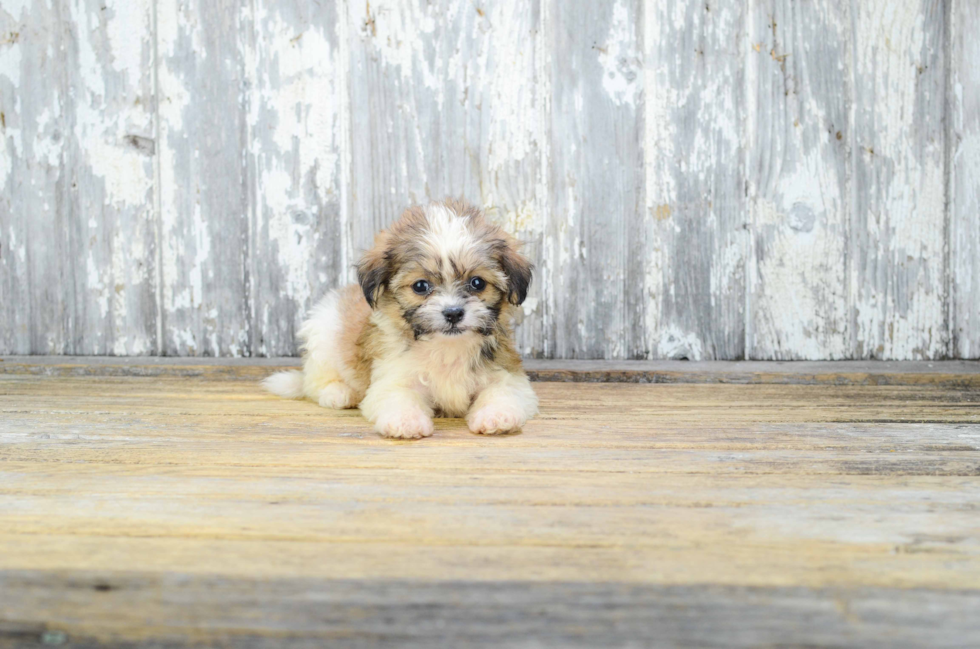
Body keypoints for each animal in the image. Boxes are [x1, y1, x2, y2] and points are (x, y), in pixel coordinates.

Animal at [262, 200, 536, 438]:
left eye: (477, 283)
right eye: (421, 286)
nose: (453, 312)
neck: (447, 347)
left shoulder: (506, 372)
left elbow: (502, 391)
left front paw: (497, 417)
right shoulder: (393, 376)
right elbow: (399, 395)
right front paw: (407, 421)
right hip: (325, 336)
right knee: (315, 382)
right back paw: (339, 393)